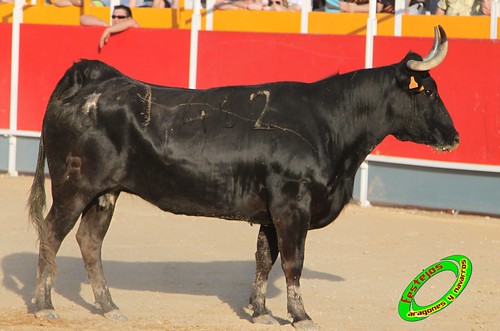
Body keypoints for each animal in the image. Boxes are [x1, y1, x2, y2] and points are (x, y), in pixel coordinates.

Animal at [29, 26, 458, 330]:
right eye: (429, 92)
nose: (454, 138)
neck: (328, 123)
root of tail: (93, 79)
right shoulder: (291, 205)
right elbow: (293, 262)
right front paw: (300, 316)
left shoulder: (271, 213)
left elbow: (264, 260)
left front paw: (261, 312)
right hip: (73, 185)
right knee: (51, 234)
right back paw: (45, 306)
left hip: (106, 191)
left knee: (90, 241)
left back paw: (109, 307)